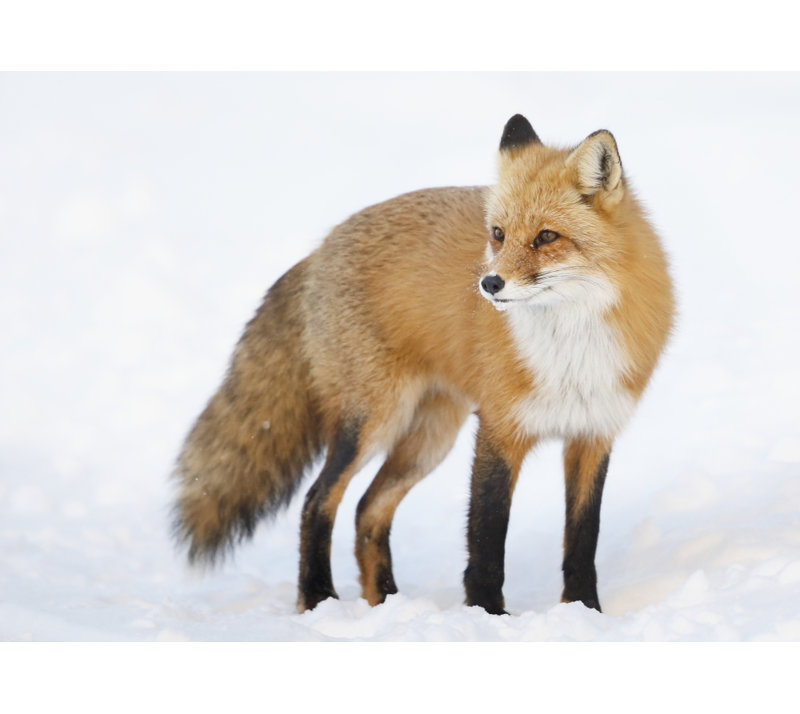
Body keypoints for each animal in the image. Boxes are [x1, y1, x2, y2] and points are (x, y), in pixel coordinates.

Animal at [173, 114, 674, 615]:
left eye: (547, 236)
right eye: (498, 234)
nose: (490, 284)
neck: (571, 348)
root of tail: (320, 249)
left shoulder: (593, 434)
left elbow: (582, 540)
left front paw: (585, 611)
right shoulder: (499, 429)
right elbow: (487, 538)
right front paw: (488, 615)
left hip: (428, 440)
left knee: (368, 510)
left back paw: (386, 602)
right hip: (371, 422)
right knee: (318, 501)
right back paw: (318, 598)